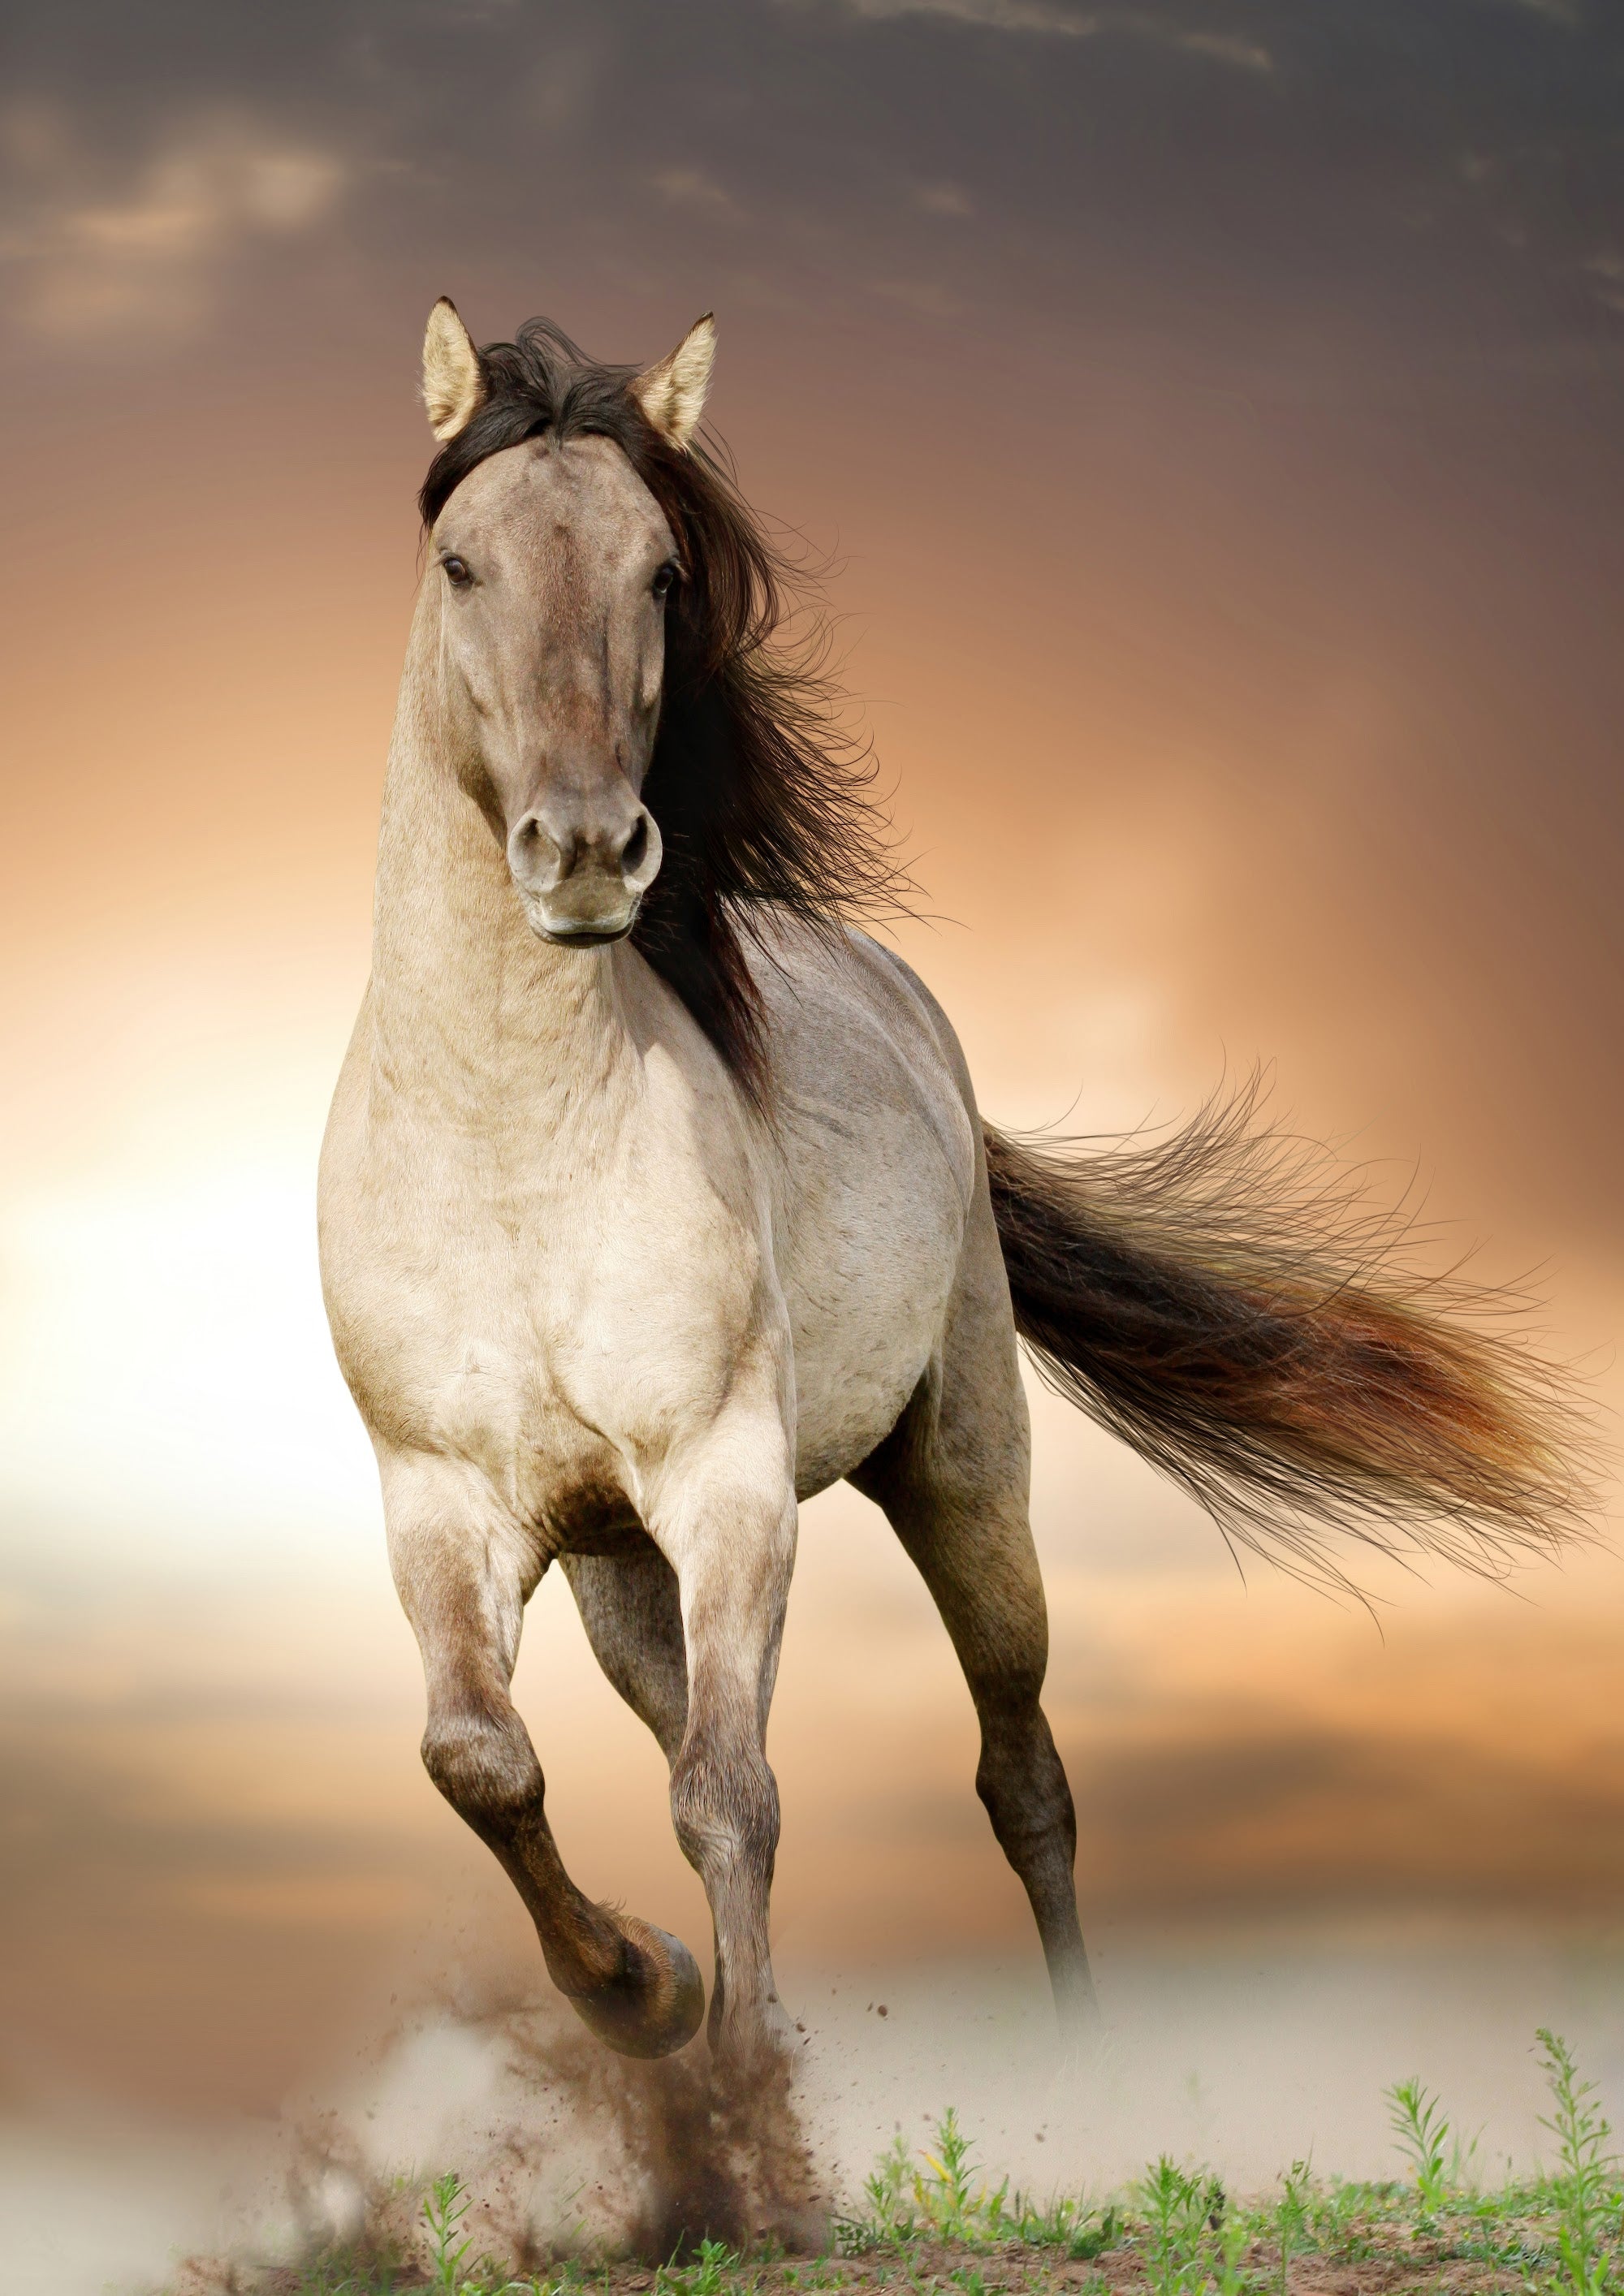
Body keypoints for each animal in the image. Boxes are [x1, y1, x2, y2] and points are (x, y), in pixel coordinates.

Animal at [318, 298, 1590, 2077]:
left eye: (662, 573)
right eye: (459, 562)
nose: (585, 853)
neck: (509, 1155)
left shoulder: (728, 1478)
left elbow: (731, 1795)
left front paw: (744, 2098)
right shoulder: (443, 1500)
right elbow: (482, 1763)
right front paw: (647, 1991)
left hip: (963, 1474)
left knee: (1020, 1772)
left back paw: (1086, 2062)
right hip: (623, 1568)